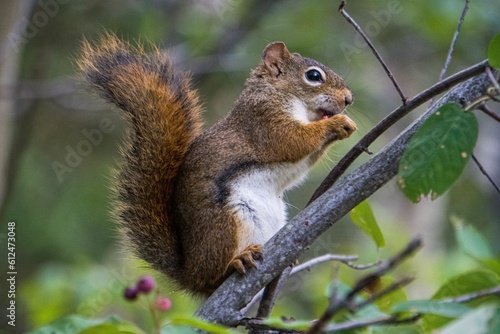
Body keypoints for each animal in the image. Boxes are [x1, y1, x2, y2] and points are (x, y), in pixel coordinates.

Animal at [79, 33, 356, 294]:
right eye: (313, 76)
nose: (349, 99)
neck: (279, 94)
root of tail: (189, 273)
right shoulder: (264, 123)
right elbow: (292, 142)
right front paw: (337, 124)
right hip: (226, 223)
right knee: (213, 276)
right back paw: (237, 261)